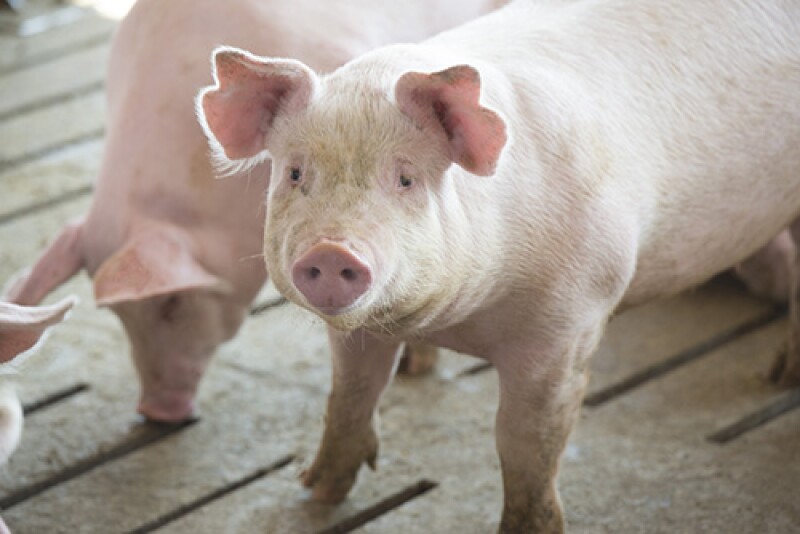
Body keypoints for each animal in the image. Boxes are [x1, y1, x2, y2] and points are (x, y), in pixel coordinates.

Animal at [198, 0, 800, 530]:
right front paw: (315, 490)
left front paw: (529, 527)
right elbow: (350, 394)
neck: (456, 324)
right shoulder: (358, 330)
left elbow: (525, 440)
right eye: (296, 173)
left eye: (406, 178)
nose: (331, 252)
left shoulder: (572, 320)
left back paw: (779, 377)